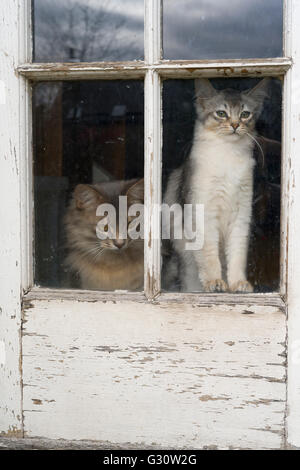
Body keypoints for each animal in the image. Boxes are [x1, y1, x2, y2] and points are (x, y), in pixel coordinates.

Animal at [164, 78, 270, 292]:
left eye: (245, 114)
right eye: (221, 113)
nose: (235, 125)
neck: (228, 154)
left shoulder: (241, 214)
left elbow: (237, 255)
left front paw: (238, 283)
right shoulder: (203, 212)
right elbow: (210, 255)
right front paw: (215, 282)